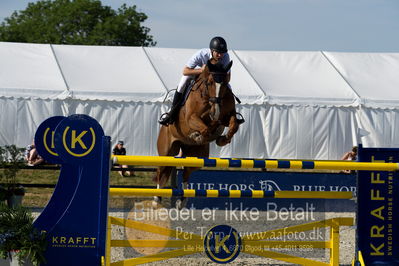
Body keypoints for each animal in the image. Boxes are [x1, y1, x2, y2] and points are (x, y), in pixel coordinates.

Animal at [154, 60, 242, 208]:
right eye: (210, 82)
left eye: (225, 83)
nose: (215, 111)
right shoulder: (191, 117)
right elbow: (205, 127)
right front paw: (198, 135)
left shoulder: (226, 116)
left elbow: (233, 125)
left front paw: (222, 139)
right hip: (167, 151)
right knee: (161, 171)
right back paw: (156, 199)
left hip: (197, 156)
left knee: (186, 172)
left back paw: (182, 200)